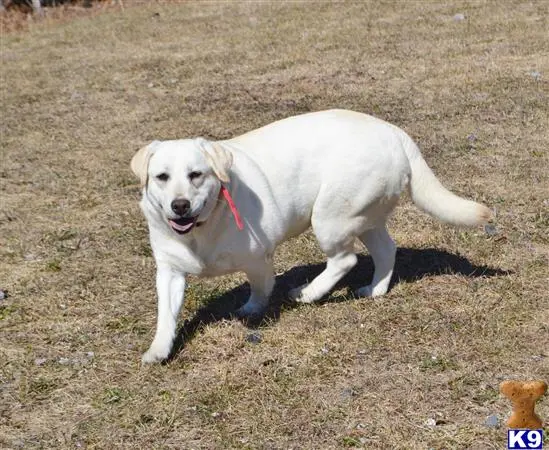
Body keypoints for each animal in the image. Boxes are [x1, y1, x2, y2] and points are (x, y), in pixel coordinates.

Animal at [131, 108, 490, 362]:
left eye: (196, 174)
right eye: (161, 177)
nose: (180, 206)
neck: (201, 229)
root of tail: (392, 131)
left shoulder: (258, 258)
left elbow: (260, 289)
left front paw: (252, 310)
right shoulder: (169, 271)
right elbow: (166, 315)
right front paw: (158, 350)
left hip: (330, 216)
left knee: (345, 259)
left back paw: (308, 293)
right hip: (365, 216)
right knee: (387, 250)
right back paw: (375, 289)